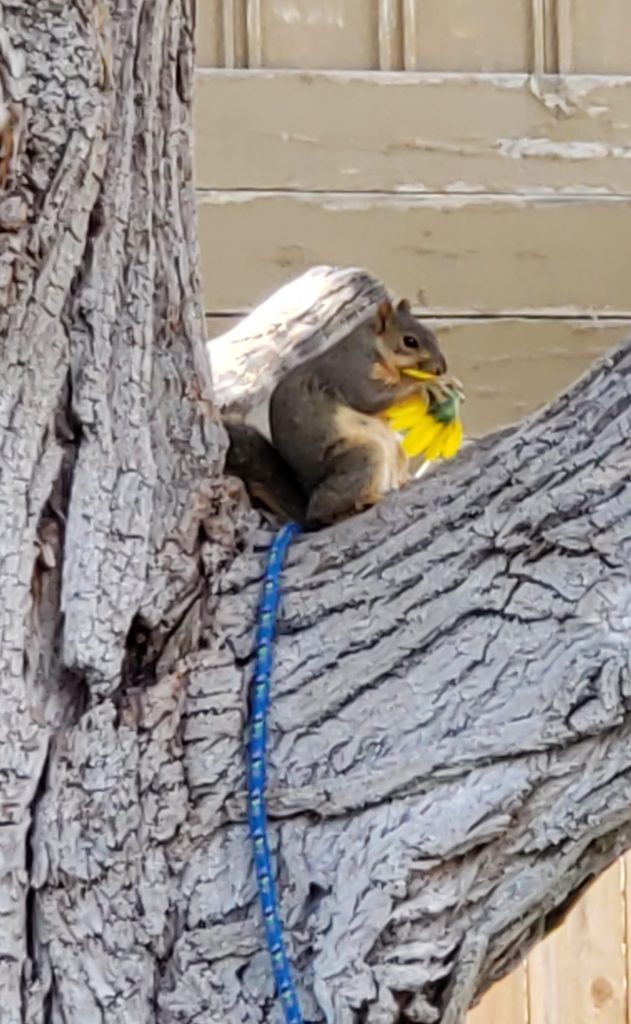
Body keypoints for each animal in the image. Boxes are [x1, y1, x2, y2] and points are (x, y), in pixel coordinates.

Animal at [223, 298, 447, 529]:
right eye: (409, 341)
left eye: (430, 333)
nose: (441, 368)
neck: (374, 347)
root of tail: (305, 508)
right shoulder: (350, 372)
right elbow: (369, 398)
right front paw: (427, 384)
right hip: (362, 456)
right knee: (322, 511)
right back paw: (362, 503)